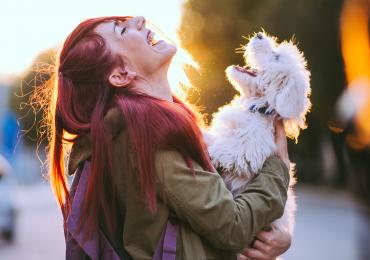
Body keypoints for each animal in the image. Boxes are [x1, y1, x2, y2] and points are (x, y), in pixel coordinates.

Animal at [204, 32, 310, 236]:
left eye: (276, 57)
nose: (259, 35)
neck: (256, 107)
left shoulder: (251, 151)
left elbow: (227, 149)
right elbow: (215, 137)